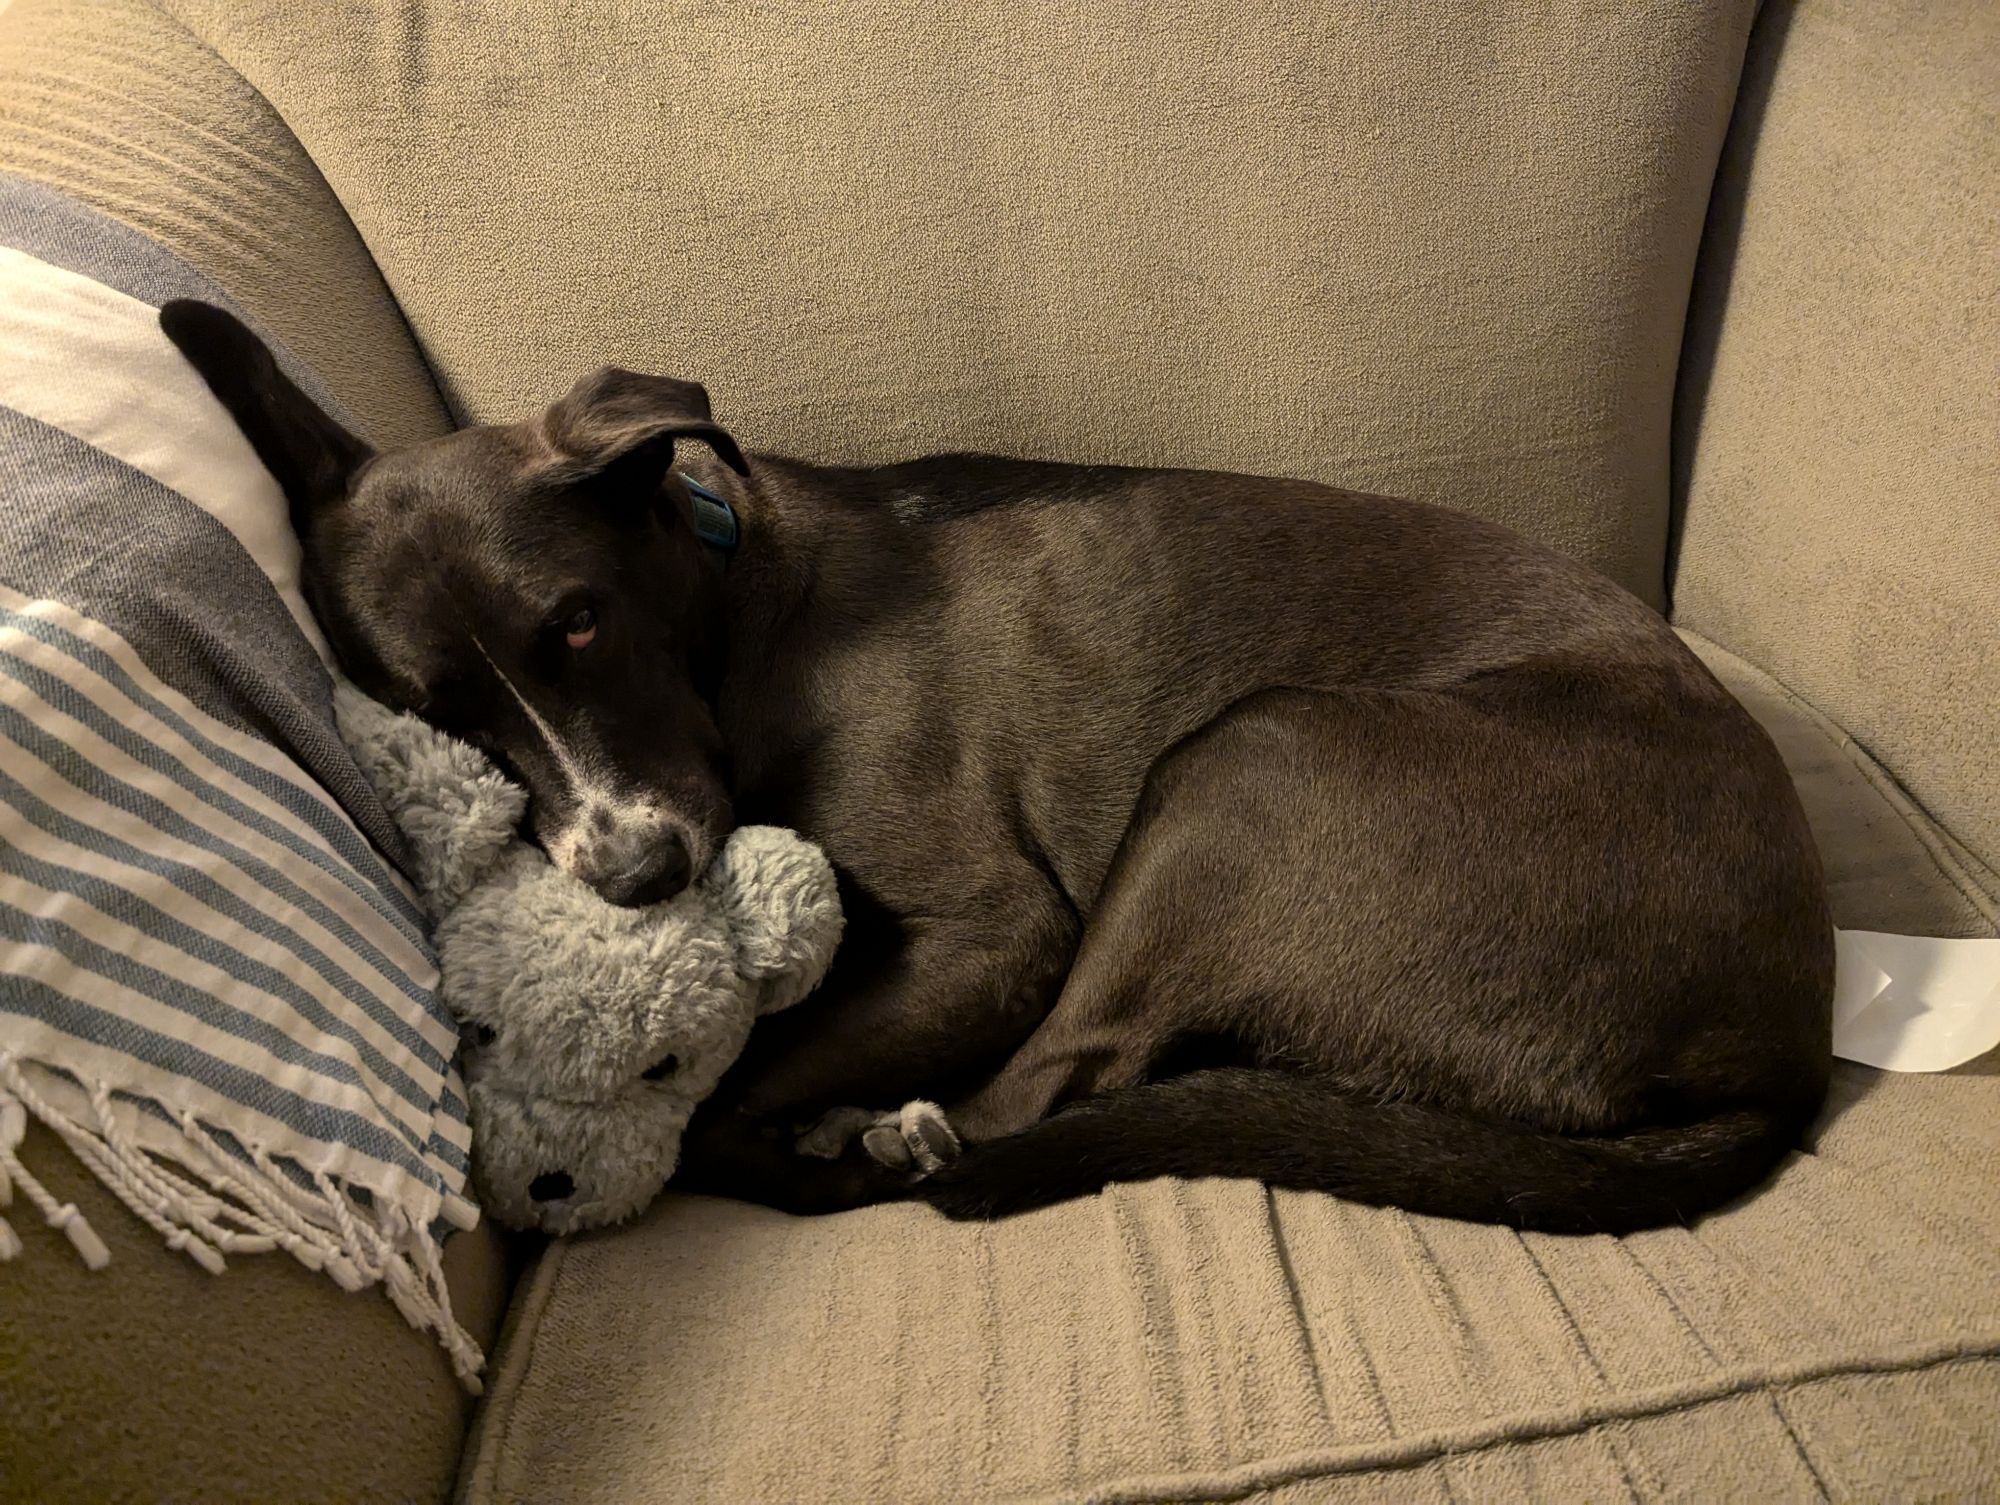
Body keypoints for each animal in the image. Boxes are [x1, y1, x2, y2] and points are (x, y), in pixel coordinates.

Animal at [164, 302, 1832, 1232]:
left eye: (577, 619)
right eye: (433, 711)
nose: (635, 874)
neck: (733, 606)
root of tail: (1791, 1040)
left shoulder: (997, 931)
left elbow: (726, 1096)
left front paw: (799, 1127)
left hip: (1254, 756)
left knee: (1045, 1088)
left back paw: (894, 1140)